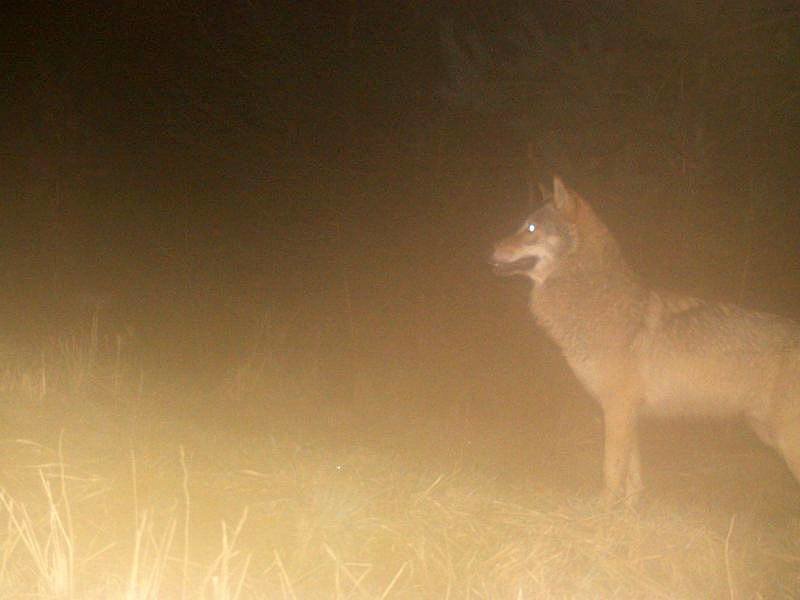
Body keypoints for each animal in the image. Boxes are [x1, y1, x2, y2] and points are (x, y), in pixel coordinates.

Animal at [491, 176, 800, 505]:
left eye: (530, 228)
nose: (490, 249)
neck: (595, 302)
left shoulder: (617, 408)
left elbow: (611, 470)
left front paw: (601, 508)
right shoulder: (628, 413)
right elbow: (633, 474)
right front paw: (630, 509)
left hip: (786, 442)